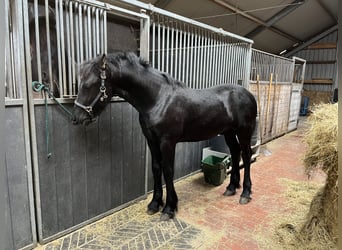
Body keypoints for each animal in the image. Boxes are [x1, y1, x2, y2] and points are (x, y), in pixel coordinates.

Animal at [73, 51, 258, 220]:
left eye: (89, 85)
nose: (76, 117)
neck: (158, 99)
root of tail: (248, 94)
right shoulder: (151, 140)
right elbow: (156, 168)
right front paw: (154, 204)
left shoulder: (167, 142)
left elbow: (168, 170)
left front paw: (169, 208)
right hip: (229, 132)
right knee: (235, 152)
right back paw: (232, 187)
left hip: (244, 131)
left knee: (246, 155)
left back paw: (245, 193)